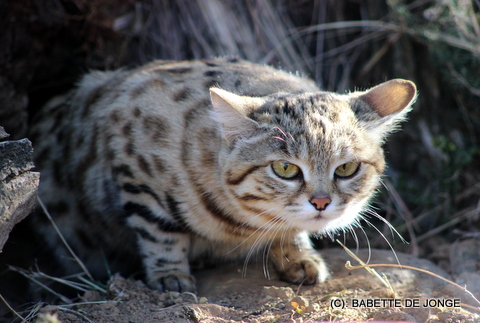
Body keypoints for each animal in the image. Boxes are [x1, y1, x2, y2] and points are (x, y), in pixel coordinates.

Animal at [30, 58, 414, 294]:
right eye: (285, 168)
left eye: (347, 168)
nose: (321, 202)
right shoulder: (135, 168)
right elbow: (159, 230)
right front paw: (171, 276)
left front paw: (298, 256)